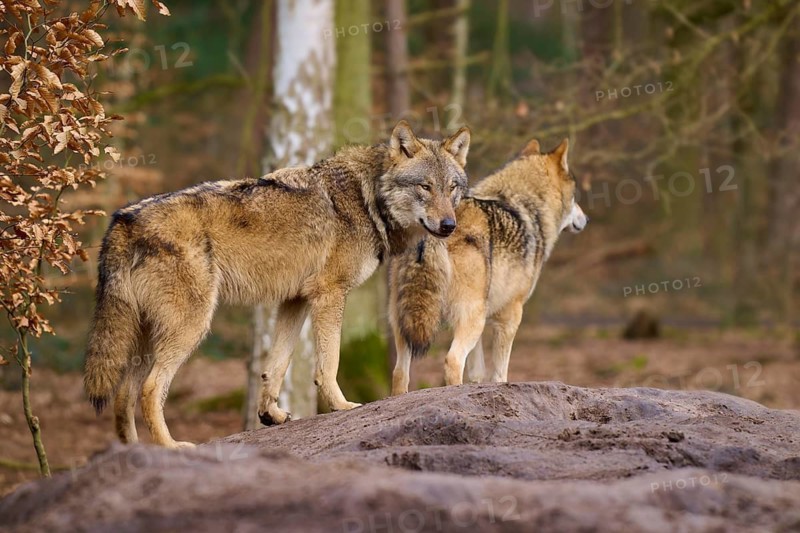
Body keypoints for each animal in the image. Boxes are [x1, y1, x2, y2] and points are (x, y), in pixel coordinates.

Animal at [83, 121, 471, 448]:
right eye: (425, 187)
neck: (368, 198)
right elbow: (328, 363)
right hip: (190, 327)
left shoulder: (294, 300)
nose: (449, 225)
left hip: (147, 335)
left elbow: (276, 366)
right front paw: (343, 406)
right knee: (150, 390)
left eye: (451, 188)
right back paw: (171, 447)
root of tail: (123, 219)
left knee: (124, 395)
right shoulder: (330, 293)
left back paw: (135, 453)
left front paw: (271, 414)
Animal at [388, 138, 587, 394]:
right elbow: (500, 374)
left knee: (399, 372)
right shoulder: (510, 316)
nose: (585, 219)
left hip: (405, 321)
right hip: (471, 317)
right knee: (452, 361)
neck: (522, 204)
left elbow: (477, 373)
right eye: (575, 197)